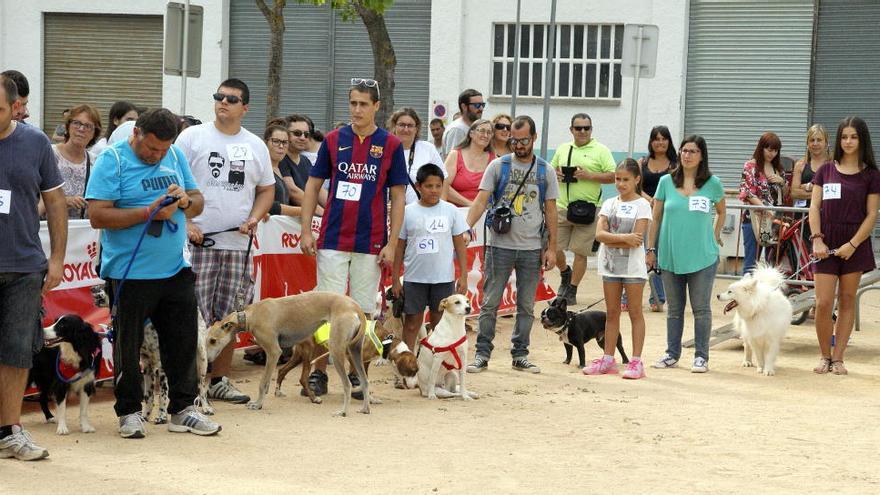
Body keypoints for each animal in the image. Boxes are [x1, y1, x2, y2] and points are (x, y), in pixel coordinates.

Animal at [205, 292, 372, 416]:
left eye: (213, 340)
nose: (207, 363)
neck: (250, 314)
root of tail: (355, 306)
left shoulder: (273, 352)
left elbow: (263, 383)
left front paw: (258, 404)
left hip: (337, 349)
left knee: (347, 384)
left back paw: (343, 412)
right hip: (355, 351)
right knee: (364, 381)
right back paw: (365, 408)